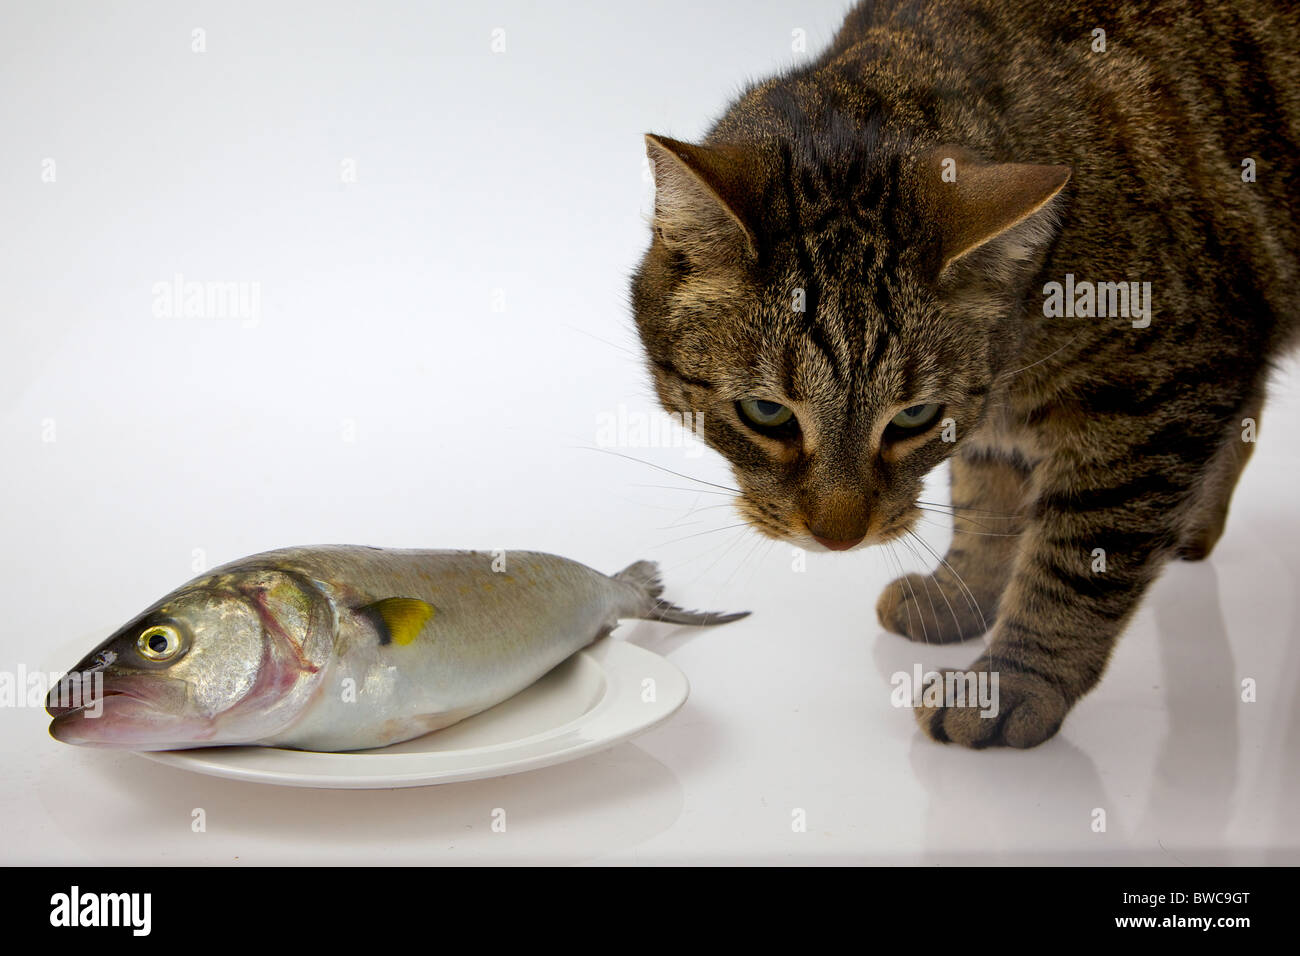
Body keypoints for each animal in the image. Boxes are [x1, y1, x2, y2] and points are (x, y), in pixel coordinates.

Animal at [629, 0, 1300, 749]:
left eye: (912, 417)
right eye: (767, 414)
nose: (839, 539)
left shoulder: (1167, 388)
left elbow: (1076, 561)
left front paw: (1011, 682)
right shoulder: (1007, 420)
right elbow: (987, 506)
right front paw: (961, 598)